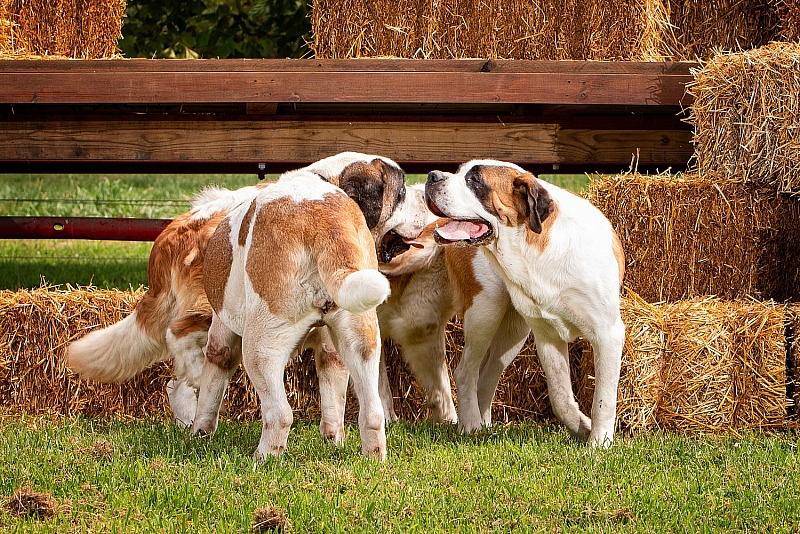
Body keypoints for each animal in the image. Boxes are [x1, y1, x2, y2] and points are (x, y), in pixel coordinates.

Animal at [428, 159, 628, 448]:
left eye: (474, 181)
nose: (432, 176)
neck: (533, 250)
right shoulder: (547, 334)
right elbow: (560, 396)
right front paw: (592, 437)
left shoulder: (606, 334)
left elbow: (599, 398)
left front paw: (594, 440)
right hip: (485, 309)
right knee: (466, 371)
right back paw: (471, 425)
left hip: (514, 331)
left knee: (487, 374)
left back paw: (484, 425)